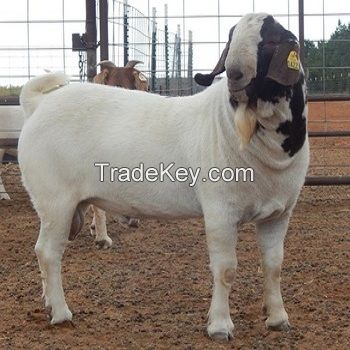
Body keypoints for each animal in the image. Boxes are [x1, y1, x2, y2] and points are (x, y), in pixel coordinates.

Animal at [17, 14, 308, 342]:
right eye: (231, 40)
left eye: (271, 40)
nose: (234, 74)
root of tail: (37, 105)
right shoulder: (220, 211)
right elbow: (225, 269)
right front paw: (220, 326)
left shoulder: (279, 213)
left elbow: (273, 266)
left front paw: (278, 319)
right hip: (55, 201)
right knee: (47, 252)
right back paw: (61, 313)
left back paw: (49, 305)